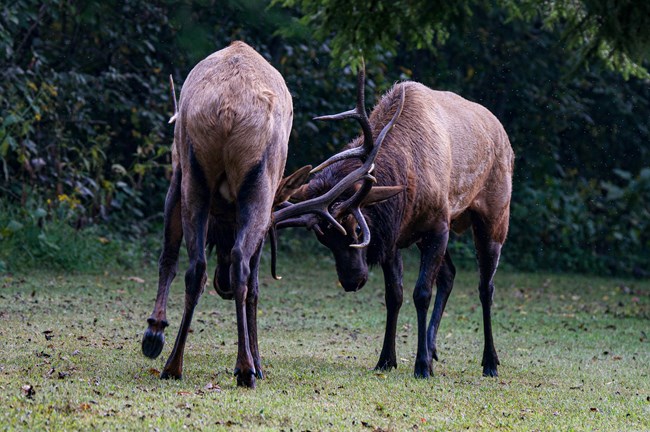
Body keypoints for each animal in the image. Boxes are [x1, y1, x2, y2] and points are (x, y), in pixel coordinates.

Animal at [140, 42, 403, 388]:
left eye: (219, 230)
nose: (223, 287)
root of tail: (229, 108)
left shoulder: (179, 170)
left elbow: (171, 257)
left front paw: (155, 333)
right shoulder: (265, 218)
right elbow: (252, 286)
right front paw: (258, 362)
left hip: (195, 171)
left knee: (196, 267)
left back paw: (173, 363)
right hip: (258, 182)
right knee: (240, 265)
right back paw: (244, 368)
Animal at [274, 65, 514, 379]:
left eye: (356, 228)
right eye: (323, 238)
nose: (352, 281)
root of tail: (503, 134)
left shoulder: (438, 225)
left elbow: (421, 293)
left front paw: (421, 366)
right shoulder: (394, 237)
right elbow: (394, 295)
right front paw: (386, 359)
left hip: (495, 216)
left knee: (486, 287)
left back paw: (490, 362)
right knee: (449, 274)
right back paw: (433, 347)